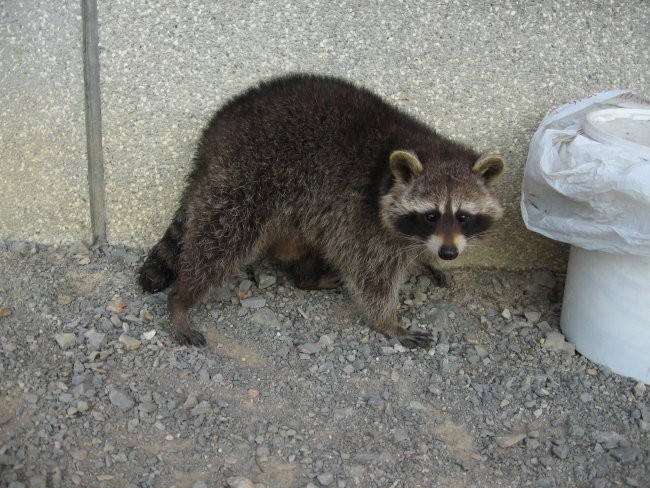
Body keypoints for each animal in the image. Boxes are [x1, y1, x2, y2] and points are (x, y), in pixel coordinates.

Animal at [137, 73, 504, 346]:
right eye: (430, 215)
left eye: (463, 216)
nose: (448, 253)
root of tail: (210, 139)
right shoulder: (363, 218)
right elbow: (371, 276)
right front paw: (389, 321)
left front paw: (423, 262)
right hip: (243, 182)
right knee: (220, 242)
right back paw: (182, 298)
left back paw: (306, 276)